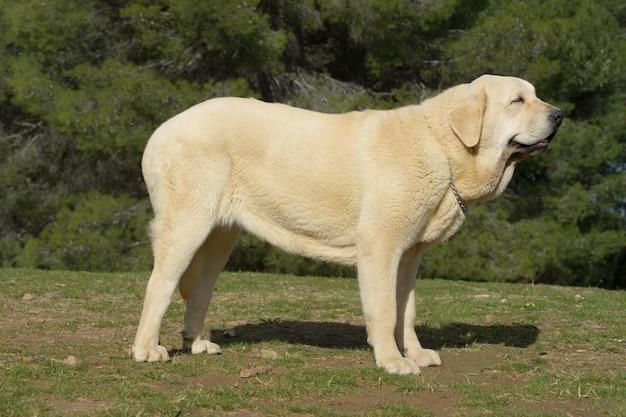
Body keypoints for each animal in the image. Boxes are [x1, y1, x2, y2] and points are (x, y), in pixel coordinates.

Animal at [130, 74, 560, 374]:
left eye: (535, 95)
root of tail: (161, 130)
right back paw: (146, 349)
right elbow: (385, 310)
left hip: (221, 235)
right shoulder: (380, 246)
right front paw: (393, 362)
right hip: (188, 222)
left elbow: (406, 310)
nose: (560, 114)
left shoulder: (408, 257)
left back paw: (196, 344)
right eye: (517, 101)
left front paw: (416, 352)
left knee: (200, 289)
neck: (442, 146)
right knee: (160, 283)